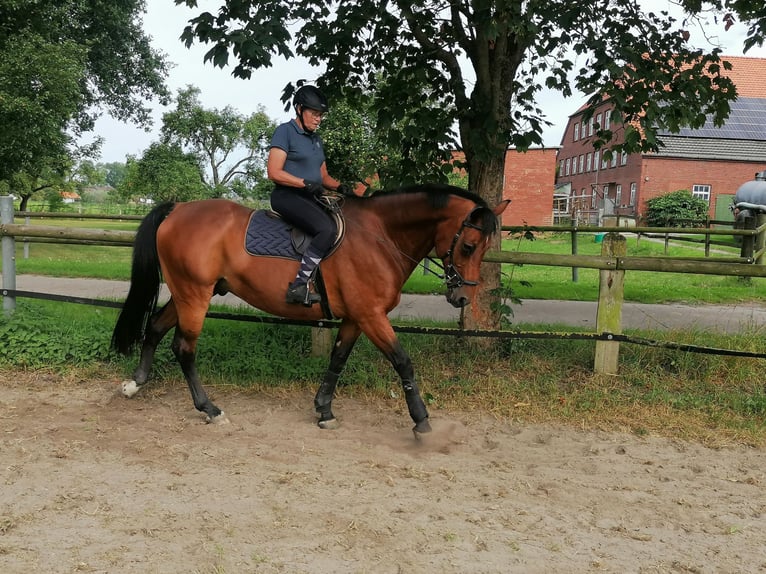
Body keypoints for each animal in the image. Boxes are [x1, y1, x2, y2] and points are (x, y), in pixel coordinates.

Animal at [111, 184, 510, 436]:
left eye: (484, 247)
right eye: (469, 245)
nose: (462, 298)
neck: (380, 236)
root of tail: (178, 209)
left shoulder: (356, 317)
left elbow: (337, 360)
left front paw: (324, 410)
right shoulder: (371, 315)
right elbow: (402, 362)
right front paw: (421, 420)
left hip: (186, 293)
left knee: (155, 328)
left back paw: (136, 383)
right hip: (195, 294)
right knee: (184, 347)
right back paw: (210, 409)